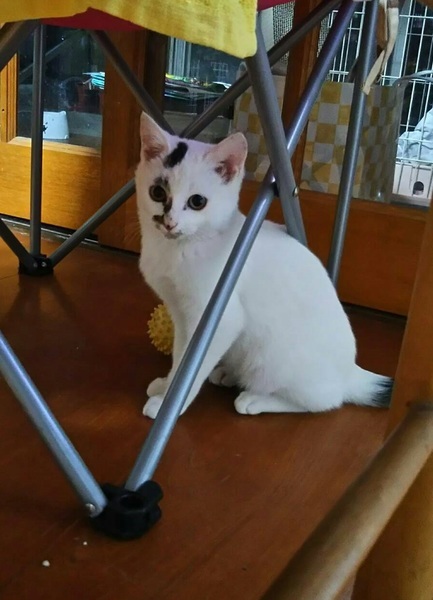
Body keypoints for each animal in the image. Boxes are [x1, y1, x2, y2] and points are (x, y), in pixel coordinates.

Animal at [136, 112, 393, 419]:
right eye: (157, 193)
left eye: (197, 202)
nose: (170, 223)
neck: (180, 249)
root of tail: (349, 373)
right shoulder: (180, 313)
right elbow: (180, 356)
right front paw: (167, 385)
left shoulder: (218, 320)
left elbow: (191, 366)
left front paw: (169, 404)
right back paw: (227, 374)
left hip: (274, 363)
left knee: (324, 401)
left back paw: (255, 400)